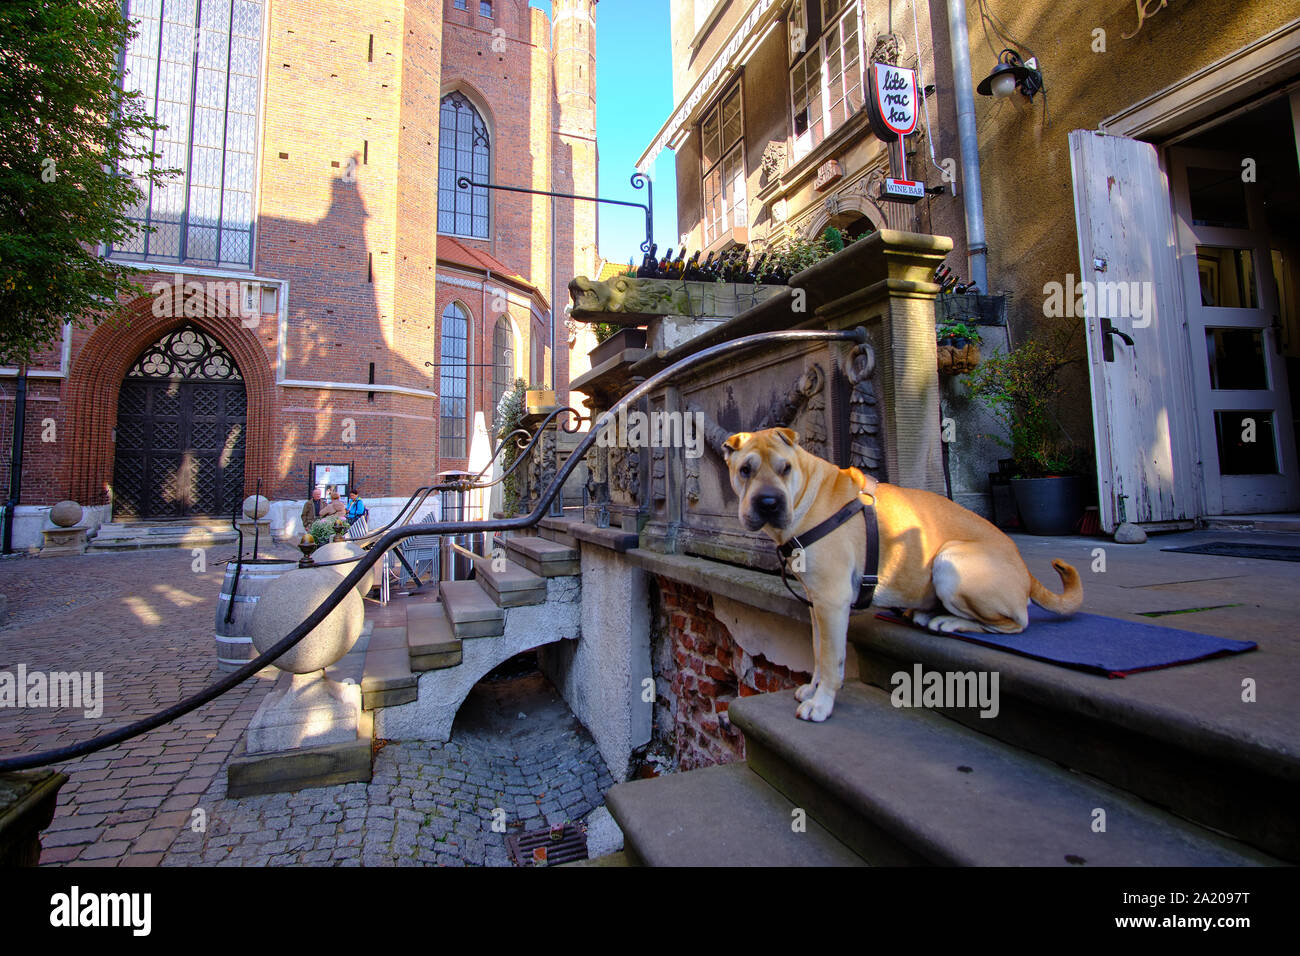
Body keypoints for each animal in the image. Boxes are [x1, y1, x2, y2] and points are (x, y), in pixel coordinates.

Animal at [728, 429, 1081, 723]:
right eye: (745, 470)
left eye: (784, 468)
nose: (769, 503)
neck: (806, 492)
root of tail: (1025, 570)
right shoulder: (817, 604)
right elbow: (817, 651)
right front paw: (813, 690)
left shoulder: (832, 601)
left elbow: (831, 659)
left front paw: (822, 703)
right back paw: (925, 614)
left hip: (949, 561)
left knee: (1015, 623)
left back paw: (948, 621)